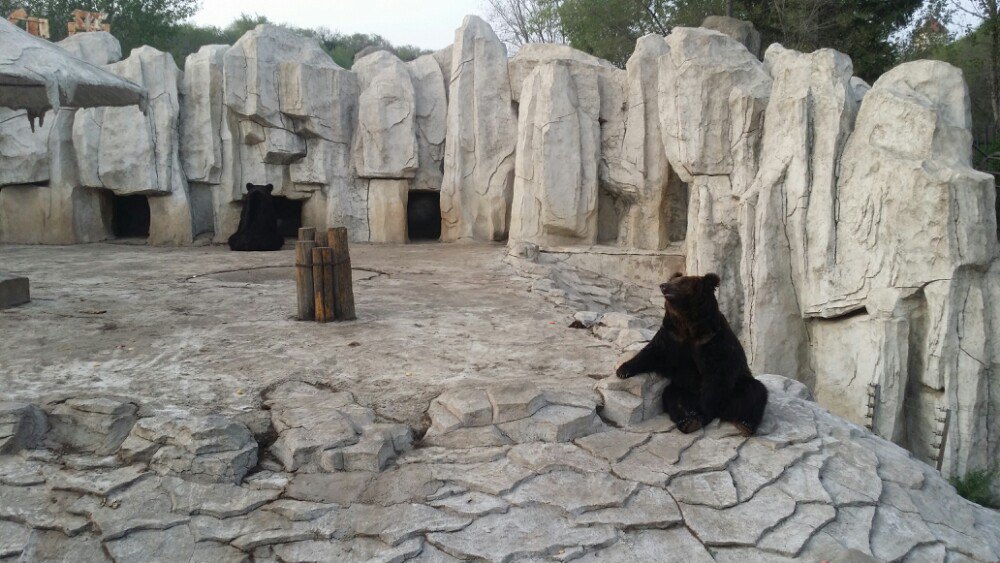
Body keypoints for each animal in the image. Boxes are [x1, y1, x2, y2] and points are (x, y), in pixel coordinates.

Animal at [612, 274, 768, 436]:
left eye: (681, 282)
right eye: (672, 280)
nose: (663, 285)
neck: (689, 325)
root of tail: (723, 411)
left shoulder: (713, 341)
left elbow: (717, 376)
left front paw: (704, 410)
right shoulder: (672, 336)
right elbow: (653, 352)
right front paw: (623, 370)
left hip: (736, 388)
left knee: (752, 392)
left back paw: (744, 423)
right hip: (684, 389)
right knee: (674, 398)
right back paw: (689, 421)